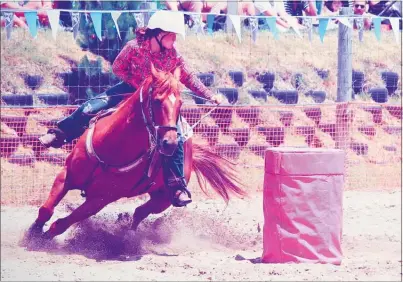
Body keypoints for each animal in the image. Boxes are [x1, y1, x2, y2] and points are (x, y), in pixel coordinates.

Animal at [26, 64, 246, 240]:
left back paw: (126, 231)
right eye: (156, 100)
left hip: (164, 199)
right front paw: (33, 233)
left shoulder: (99, 200)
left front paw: (44, 237)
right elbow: (46, 209)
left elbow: (62, 223)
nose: (169, 143)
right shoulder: (67, 175)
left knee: (141, 212)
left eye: (180, 104)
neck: (111, 147)